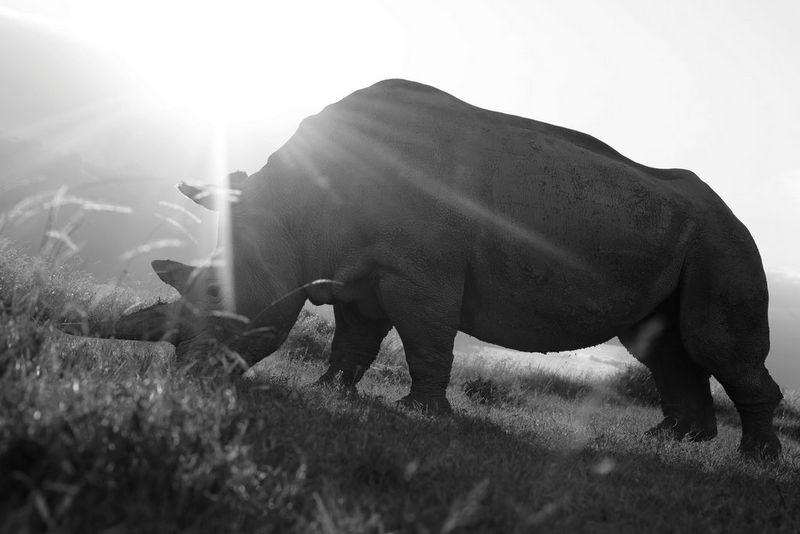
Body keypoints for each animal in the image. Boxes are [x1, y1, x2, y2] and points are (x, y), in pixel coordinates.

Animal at [106, 79, 782, 458]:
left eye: (218, 296)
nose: (188, 379)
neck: (292, 212)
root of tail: (734, 216)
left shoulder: (419, 270)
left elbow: (425, 334)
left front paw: (424, 415)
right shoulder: (357, 268)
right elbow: (355, 338)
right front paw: (330, 391)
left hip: (725, 241)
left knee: (713, 341)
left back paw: (758, 461)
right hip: (682, 236)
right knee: (661, 343)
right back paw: (674, 444)